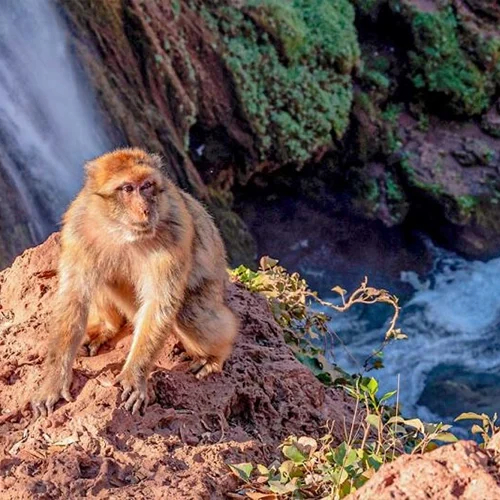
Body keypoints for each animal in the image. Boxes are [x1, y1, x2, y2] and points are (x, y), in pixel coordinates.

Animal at [30, 147, 238, 414]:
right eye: (128, 188)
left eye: (147, 185)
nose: (145, 209)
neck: (120, 231)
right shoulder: (78, 230)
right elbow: (74, 296)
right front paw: (54, 380)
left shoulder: (175, 232)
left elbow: (160, 303)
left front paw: (134, 376)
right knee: (102, 277)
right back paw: (108, 326)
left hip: (212, 289)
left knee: (190, 313)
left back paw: (214, 356)